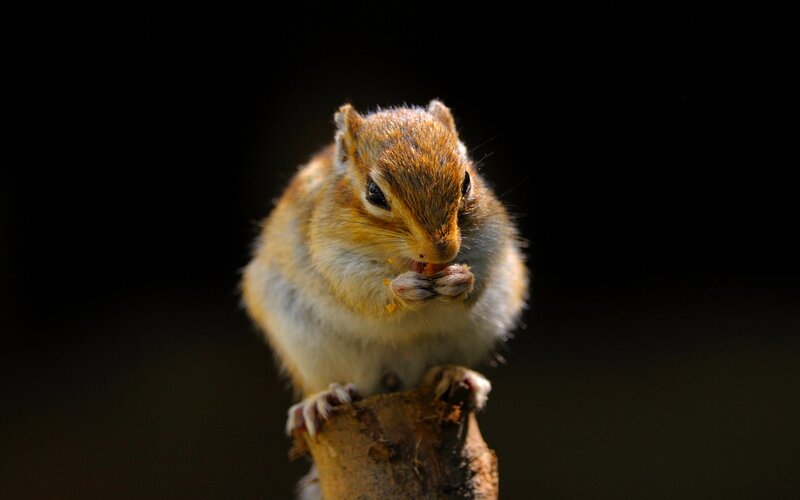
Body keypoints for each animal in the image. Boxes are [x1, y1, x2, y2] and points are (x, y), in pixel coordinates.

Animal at [242, 100, 528, 439]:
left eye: (467, 181)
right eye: (374, 193)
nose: (442, 251)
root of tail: (394, 382)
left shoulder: (490, 238)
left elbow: (481, 273)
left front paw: (461, 279)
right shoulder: (334, 256)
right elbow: (361, 288)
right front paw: (402, 290)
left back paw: (455, 374)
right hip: (304, 342)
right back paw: (322, 400)